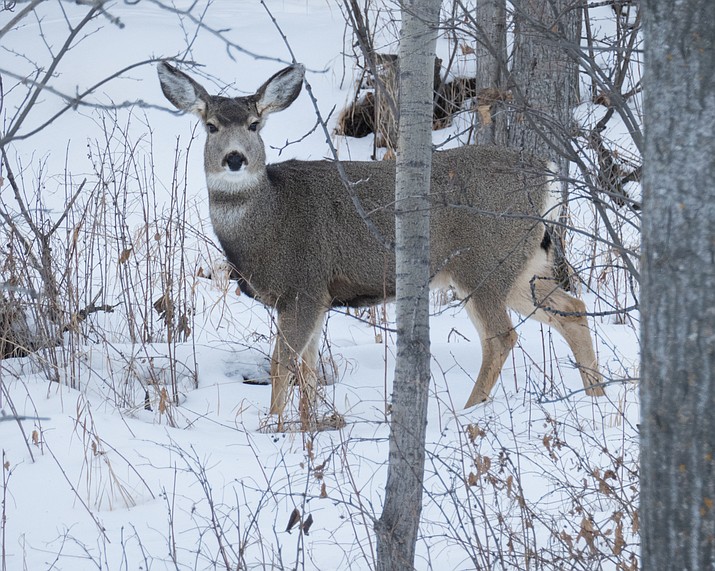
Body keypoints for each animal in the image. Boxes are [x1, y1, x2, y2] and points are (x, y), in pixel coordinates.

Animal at [157, 61, 604, 420]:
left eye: (254, 124)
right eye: (210, 126)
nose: (235, 158)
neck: (269, 221)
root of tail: (547, 173)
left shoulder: (303, 285)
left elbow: (282, 364)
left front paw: (273, 425)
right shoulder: (319, 296)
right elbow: (310, 370)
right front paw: (307, 425)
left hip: (483, 262)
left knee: (501, 336)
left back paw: (469, 412)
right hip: (523, 265)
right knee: (573, 309)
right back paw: (596, 396)